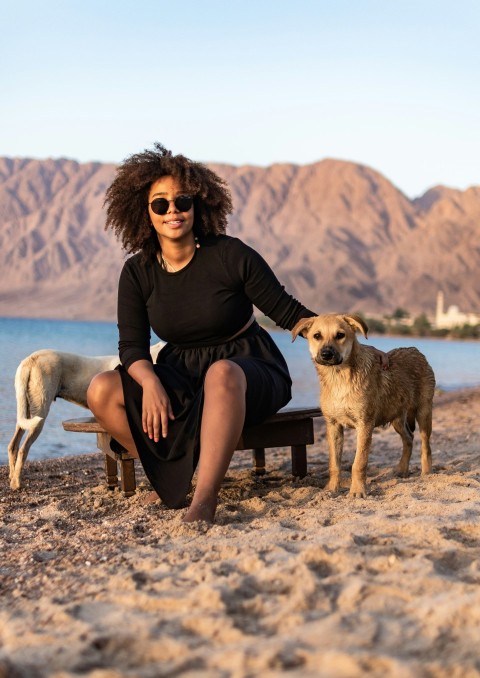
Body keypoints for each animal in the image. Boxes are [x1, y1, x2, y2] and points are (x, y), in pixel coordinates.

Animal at [290, 314, 436, 500]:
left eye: (340, 335)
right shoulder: (333, 426)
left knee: (426, 445)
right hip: (396, 417)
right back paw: (402, 470)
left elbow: (358, 463)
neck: (339, 378)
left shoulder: (365, 425)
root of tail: (416, 350)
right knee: (409, 438)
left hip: (423, 411)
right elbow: (334, 464)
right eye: (317, 336)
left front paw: (357, 491)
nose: (326, 354)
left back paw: (426, 473)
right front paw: (331, 489)